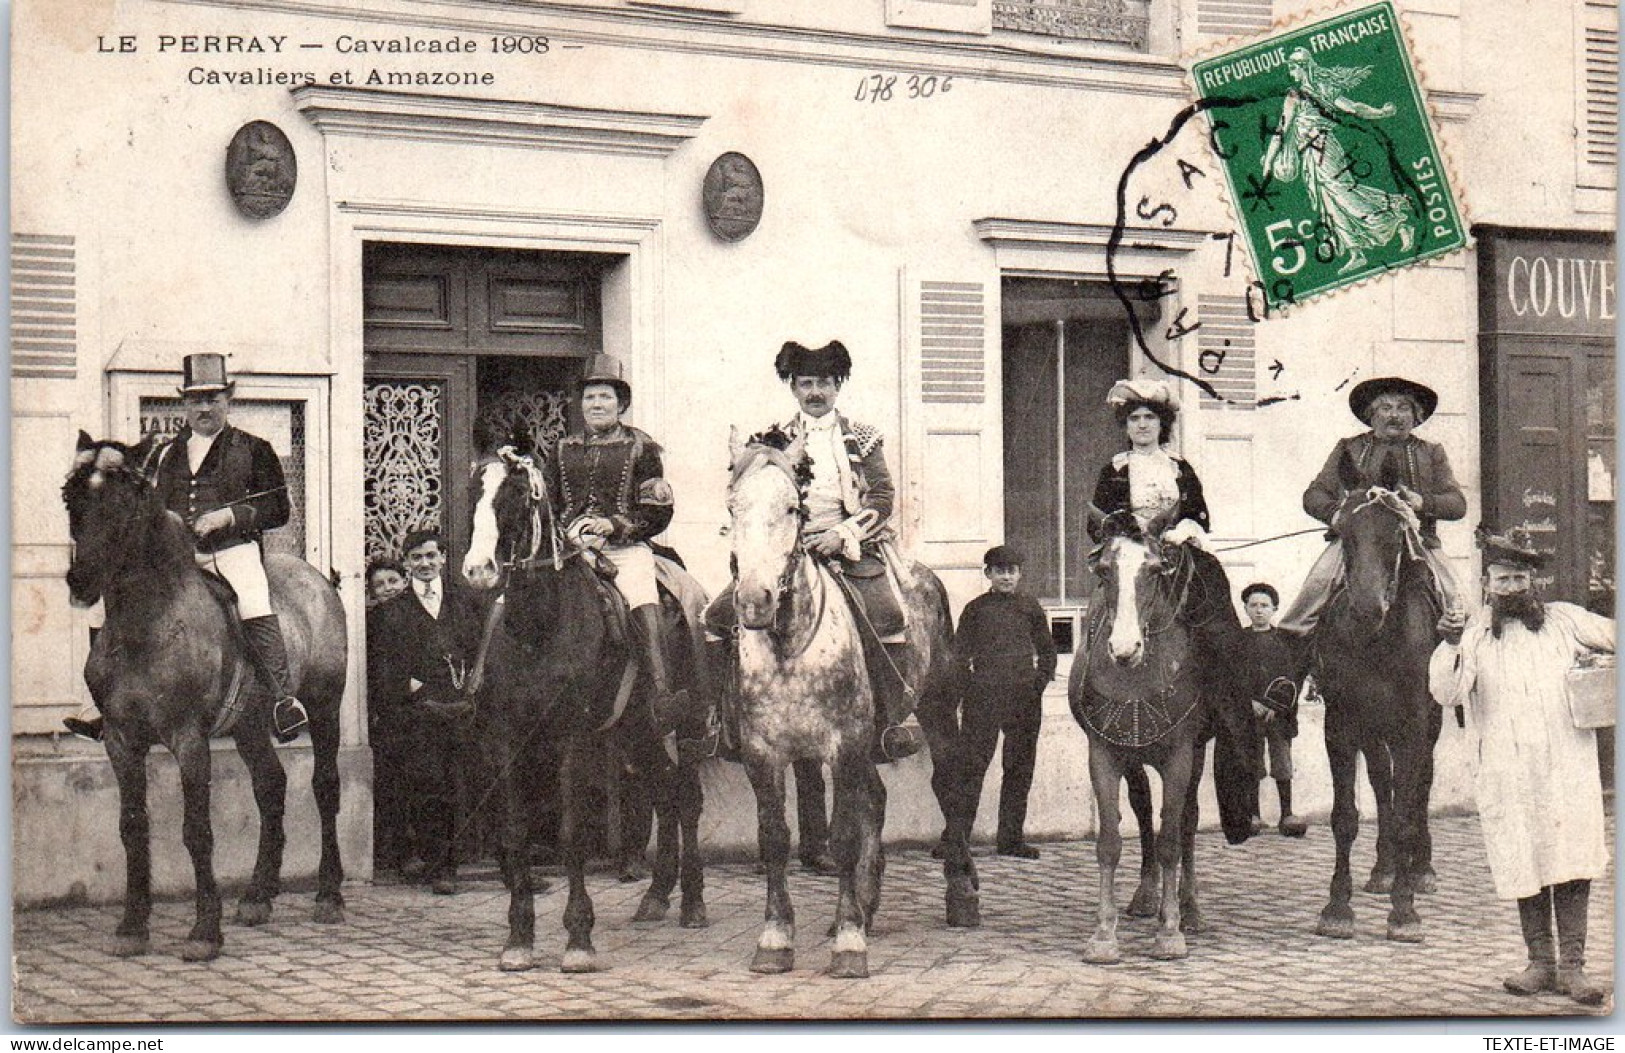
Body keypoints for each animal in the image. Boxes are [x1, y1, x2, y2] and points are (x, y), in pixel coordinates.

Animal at [60, 432, 346, 955]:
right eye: (71, 498)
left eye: (124, 502)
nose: (80, 582)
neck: (148, 623)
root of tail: (316, 578)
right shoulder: (121, 741)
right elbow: (132, 826)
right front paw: (132, 926)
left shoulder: (188, 739)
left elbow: (197, 830)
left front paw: (204, 931)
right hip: (250, 724)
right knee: (270, 786)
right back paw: (257, 896)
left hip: (324, 708)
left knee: (324, 786)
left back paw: (328, 894)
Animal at [461, 442, 708, 968]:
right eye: (474, 492)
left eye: (516, 494)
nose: (478, 571)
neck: (537, 628)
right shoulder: (507, 740)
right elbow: (516, 832)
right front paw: (519, 938)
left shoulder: (571, 738)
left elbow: (571, 833)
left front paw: (578, 937)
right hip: (638, 734)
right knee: (665, 798)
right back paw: (656, 897)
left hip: (689, 727)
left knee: (687, 801)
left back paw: (693, 904)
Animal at [1072, 513, 1248, 962]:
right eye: (1104, 571)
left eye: (1153, 571)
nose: (1124, 648)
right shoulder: (1103, 755)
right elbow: (1110, 841)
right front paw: (1104, 934)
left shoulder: (1179, 756)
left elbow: (1171, 838)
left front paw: (1170, 931)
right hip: (1133, 758)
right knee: (1143, 809)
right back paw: (1146, 895)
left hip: (1196, 753)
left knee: (1186, 820)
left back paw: (1189, 909)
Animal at [1313, 451, 1443, 936]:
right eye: (1342, 534)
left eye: (1394, 534)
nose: (1368, 608)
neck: (1376, 640)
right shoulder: (1341, 724)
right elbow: (1345, 815)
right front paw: (1337, 906)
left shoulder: (1413, 725)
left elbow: (1407, 812)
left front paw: (1404, 910)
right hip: (1371, 728)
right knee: (1381, 782)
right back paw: (1385, 869)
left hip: (1431, 723)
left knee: (1421, 785)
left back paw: (1420, 870)